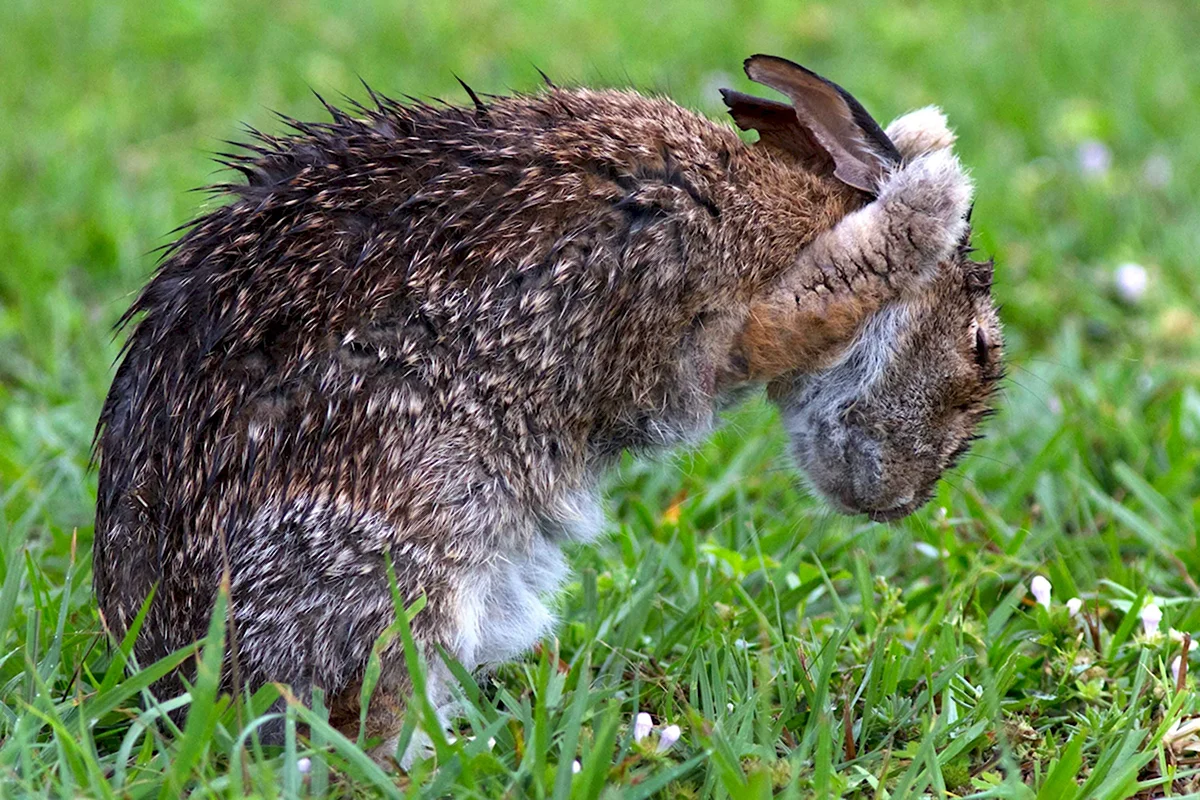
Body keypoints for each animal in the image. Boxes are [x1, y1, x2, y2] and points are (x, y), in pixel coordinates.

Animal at [88, 54, 998, 758]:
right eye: (981, 349)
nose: (905, 501)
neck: (796, 197)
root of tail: (174, 672)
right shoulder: (737, 312)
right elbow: (836, 284)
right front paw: (934, 194)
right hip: (397, 563)